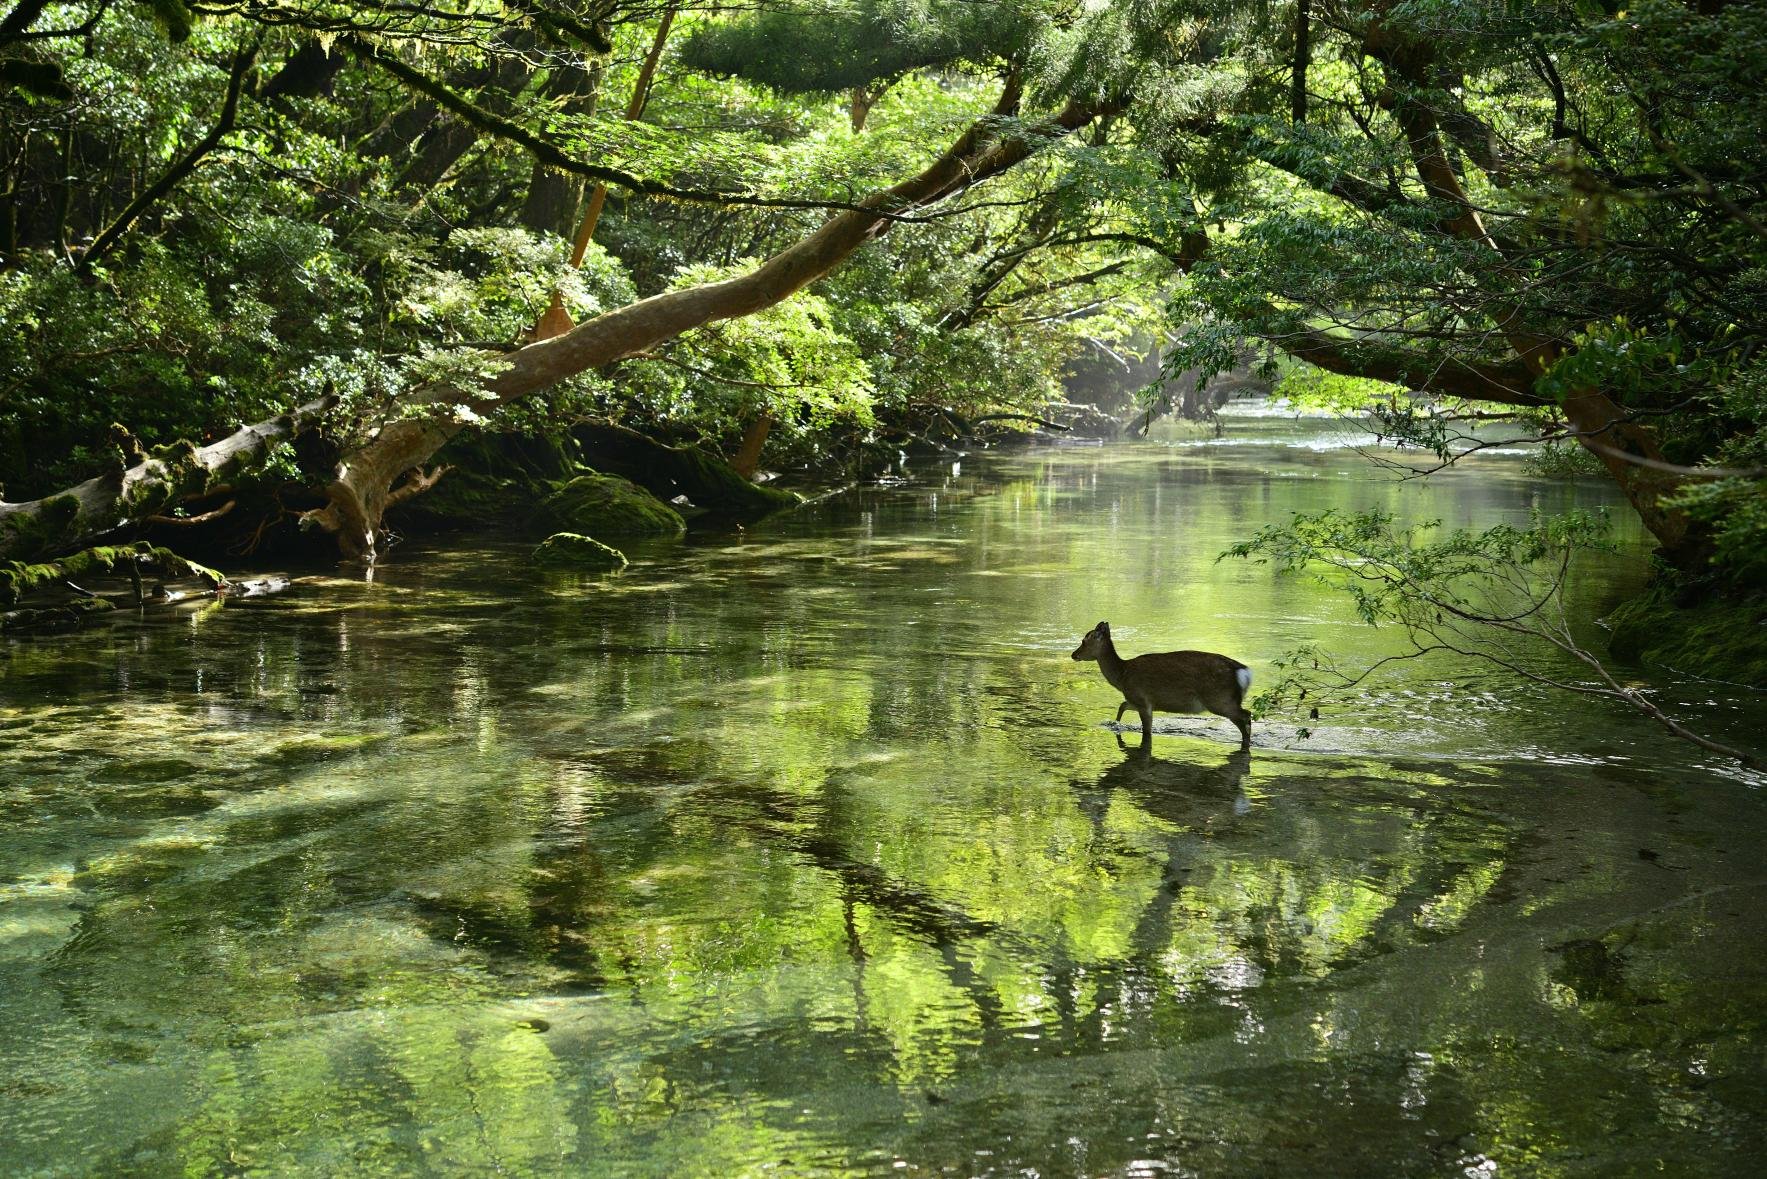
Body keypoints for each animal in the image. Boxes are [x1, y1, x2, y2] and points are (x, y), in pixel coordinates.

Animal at [1070, 621, 1253, 750]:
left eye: (1084, 640)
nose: (1073, 654)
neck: (1122, 676)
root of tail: (1244, 671)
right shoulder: (1137, 700)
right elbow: (1122, 705)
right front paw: (1115, 724)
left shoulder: (1142, 699)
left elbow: (1146, 731)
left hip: (1219, 699)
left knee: (1246, 715)